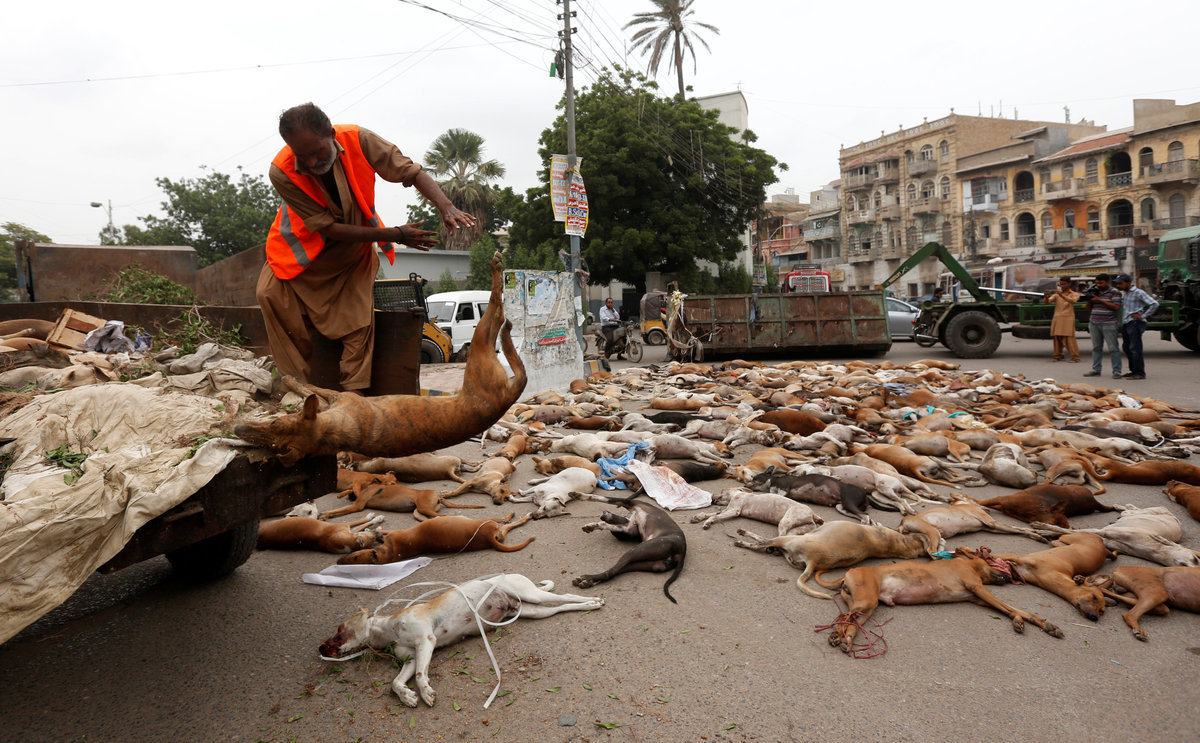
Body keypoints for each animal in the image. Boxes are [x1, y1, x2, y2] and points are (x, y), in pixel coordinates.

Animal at [236, 254, 528, 465]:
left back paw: (497, 269)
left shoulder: (341, 397)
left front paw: (288, 379)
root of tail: (505, 398)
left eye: (275, 423)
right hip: (481, 352)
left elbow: (308, 387)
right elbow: (308, 388)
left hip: (478, 349)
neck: (335, 433)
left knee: (497, 308)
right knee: (498, 316)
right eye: (273, 443)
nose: (238, 429)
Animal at [316, 576, 604, 710]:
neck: (389, 630)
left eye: (339, 631)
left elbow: (420, 676)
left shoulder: (426, 642)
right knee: (563, 607)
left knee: (566, 596)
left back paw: (593, 599)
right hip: (533, 611)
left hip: (532, 595)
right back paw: (588, 605)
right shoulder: (411, 657)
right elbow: (396, 682)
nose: (320, 648)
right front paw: (408, 696)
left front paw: (425, 692)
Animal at [336, 513, 528, 566]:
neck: (389, 553)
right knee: (506, 523)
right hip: (487, 523)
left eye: (355, 557)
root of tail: (488, 538)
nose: (339, 562)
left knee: (506, 523)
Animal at [820, 547, 1065, 657]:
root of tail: (848, 572)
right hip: (866, 601)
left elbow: (1016, 609)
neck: (968, 564)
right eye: (991, 560)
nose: (1008, 574)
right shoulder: (976, 587)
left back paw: (845, 640)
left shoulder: (978, 598)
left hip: (866, 608)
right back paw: (836, 636)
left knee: (850, 623)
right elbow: (1010, 608)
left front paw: (1045, 624)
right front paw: (1019, 620)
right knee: (843, 618)